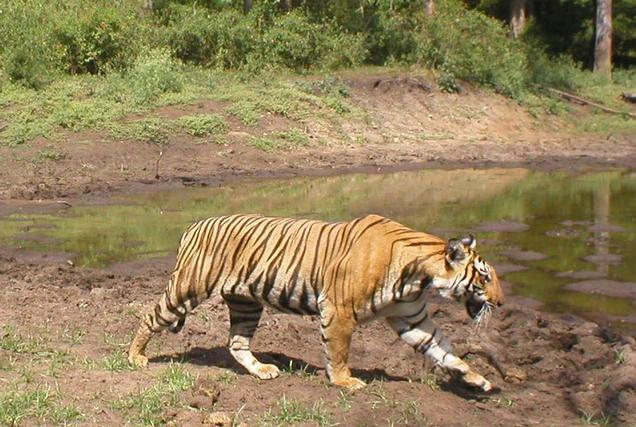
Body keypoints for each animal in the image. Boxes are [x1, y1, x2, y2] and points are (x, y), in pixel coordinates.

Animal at [129, 216, 504, 392]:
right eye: (485, 278)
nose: (501, 303)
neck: (420, 277)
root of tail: (194, 225)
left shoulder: (412, 318)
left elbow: (444, 350)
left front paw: (478, 379)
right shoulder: (339, 311)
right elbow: (338, 351)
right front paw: (344, 382)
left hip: (246, 303)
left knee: (237, 343)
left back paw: (262, 370)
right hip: (187, 289)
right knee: (150, 315)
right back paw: (136, 357)